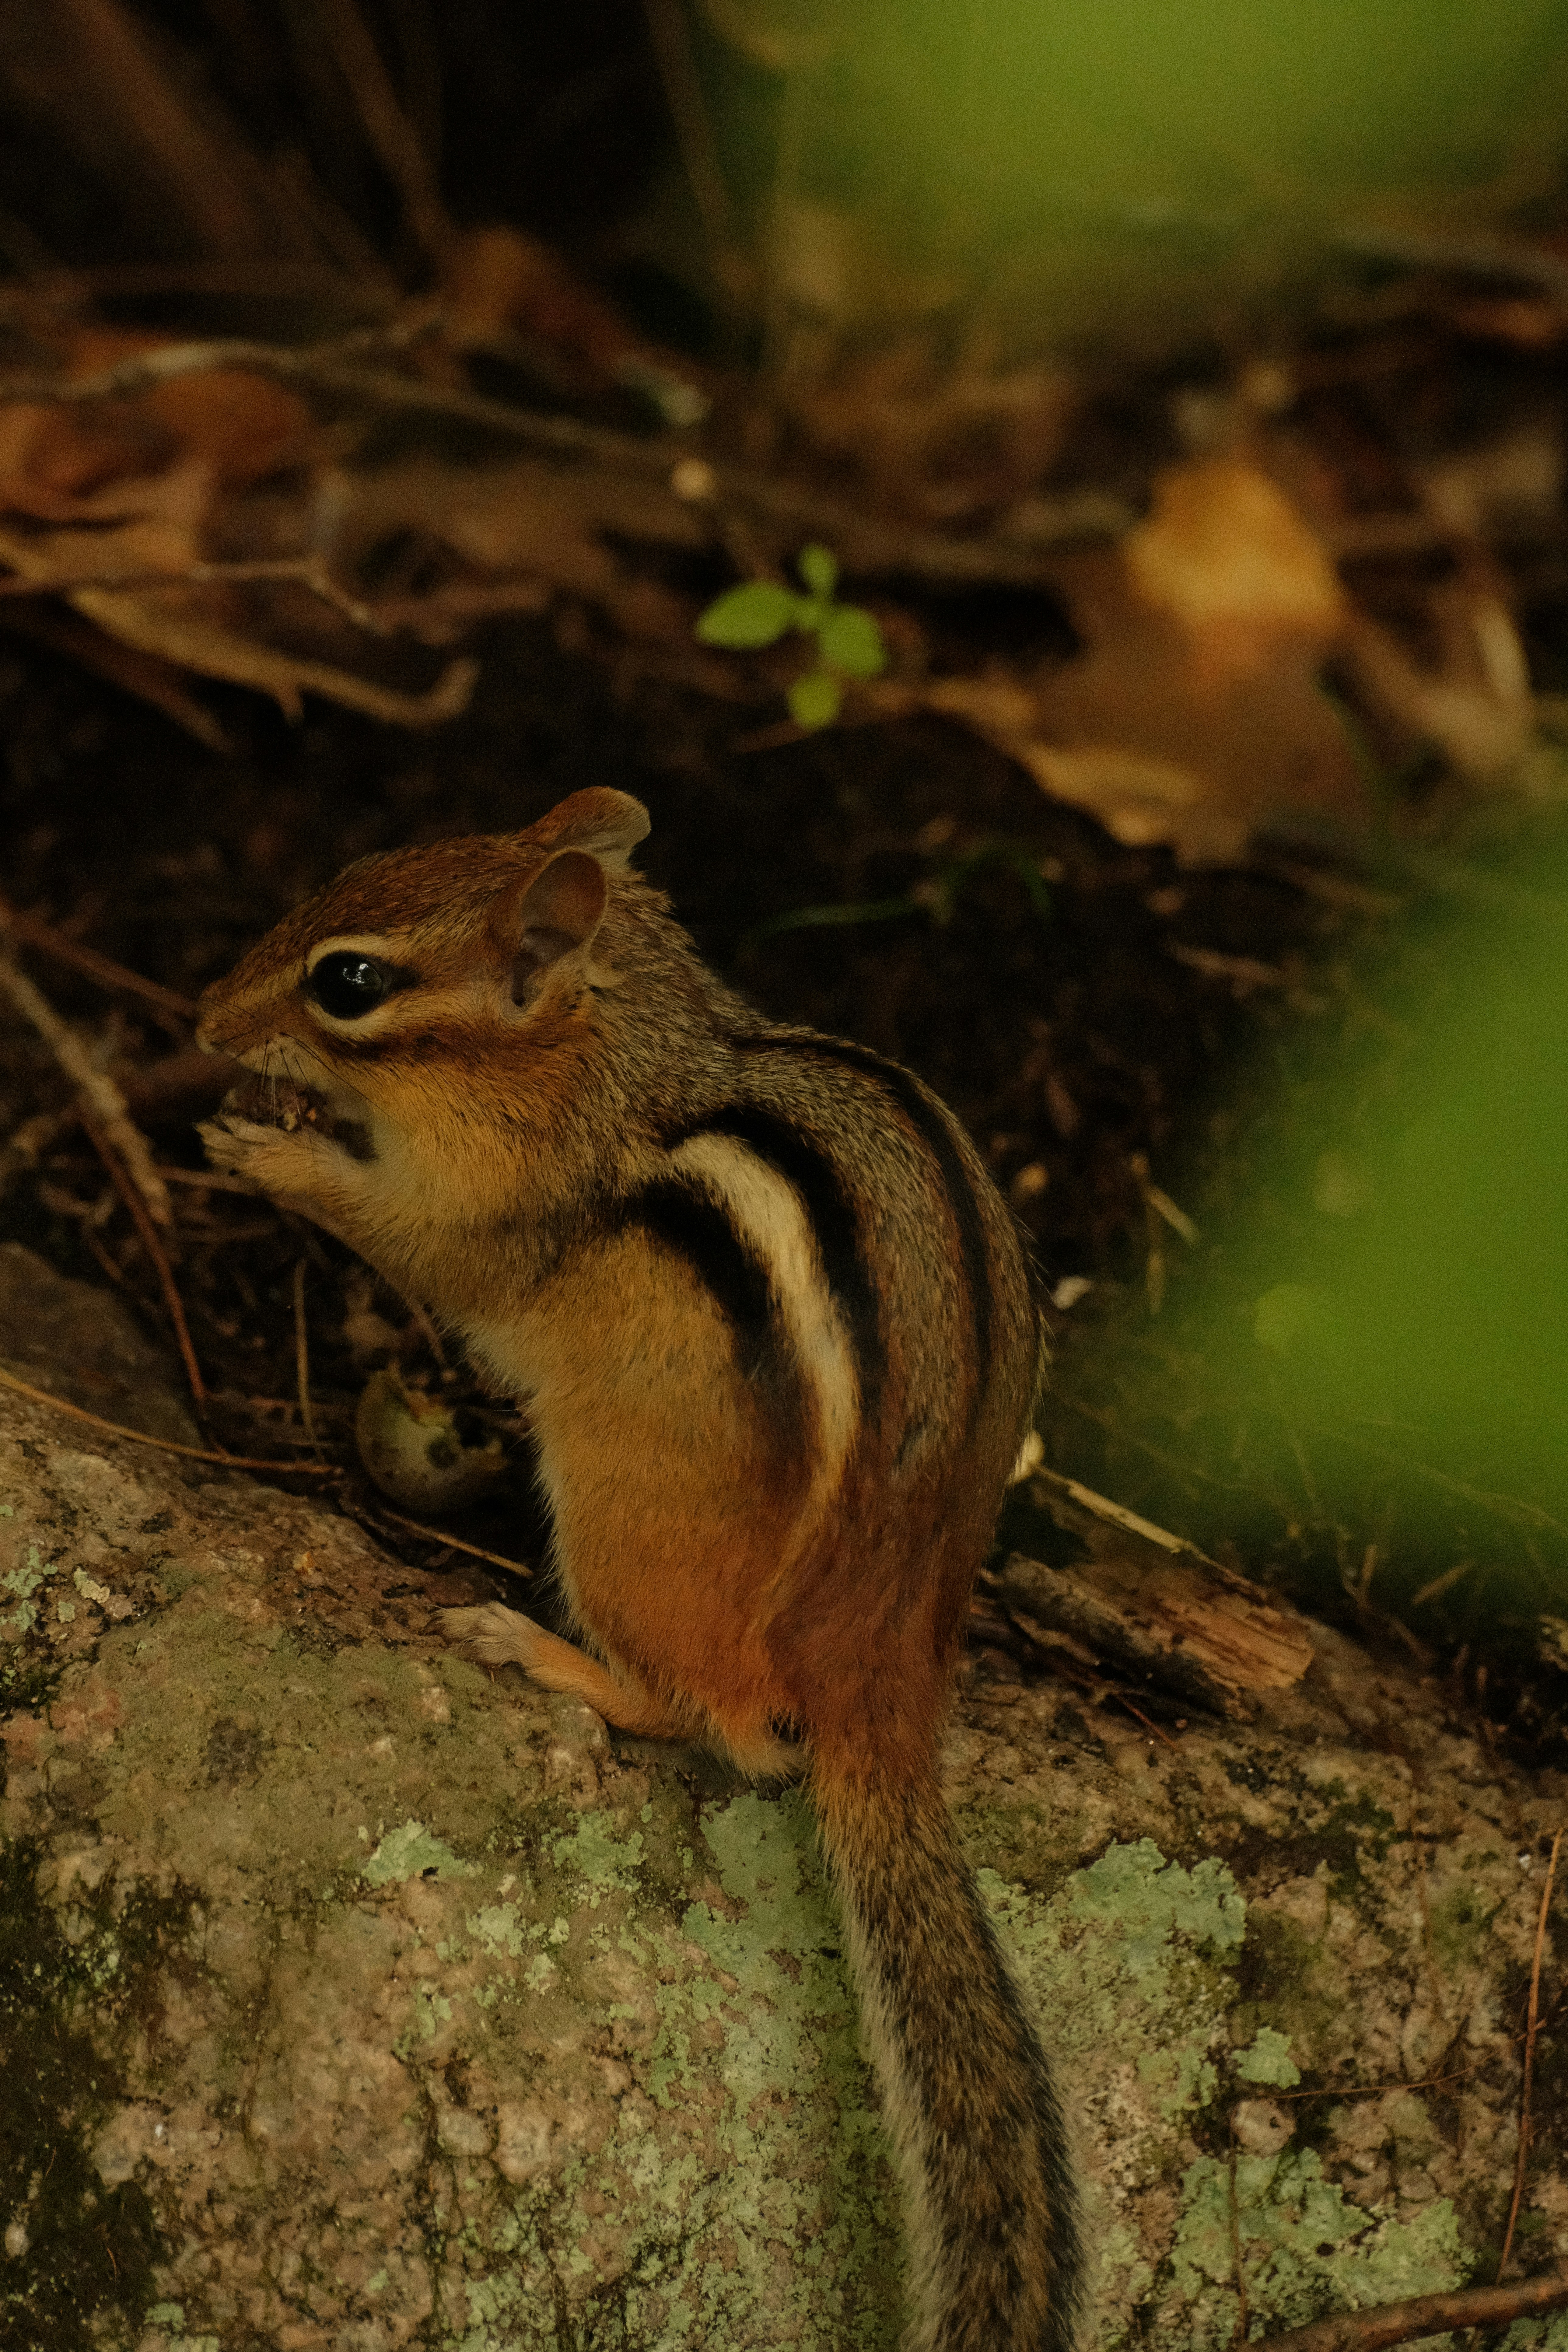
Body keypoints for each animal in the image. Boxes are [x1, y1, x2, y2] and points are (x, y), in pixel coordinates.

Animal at [196, 786, 1082, 2352]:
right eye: (348, 870)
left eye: (347, 981)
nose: (198, 1020)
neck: (608, 1040)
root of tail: (882, 1671)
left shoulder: (493, 1212)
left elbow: (416, 1241)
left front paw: (269, 1155)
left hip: (618, 1514)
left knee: (713, 1717)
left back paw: (538, 1650)